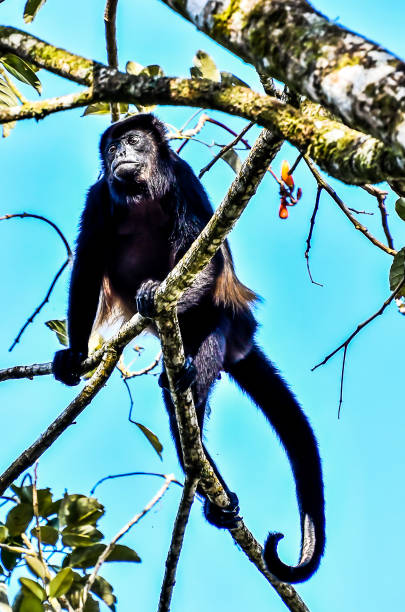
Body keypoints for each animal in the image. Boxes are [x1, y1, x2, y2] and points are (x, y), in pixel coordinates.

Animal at [52, 115, 326, 584]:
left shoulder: (183, 182)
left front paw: (159, 298)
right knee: (175, 405)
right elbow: (86, 266)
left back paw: (191, 381)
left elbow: (206, 257)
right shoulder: (98, 198)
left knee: (204, 352)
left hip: (229, 325)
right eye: (112, 148)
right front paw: (73, 355)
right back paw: (210, 486)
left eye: (133, 140)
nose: (120, 154)